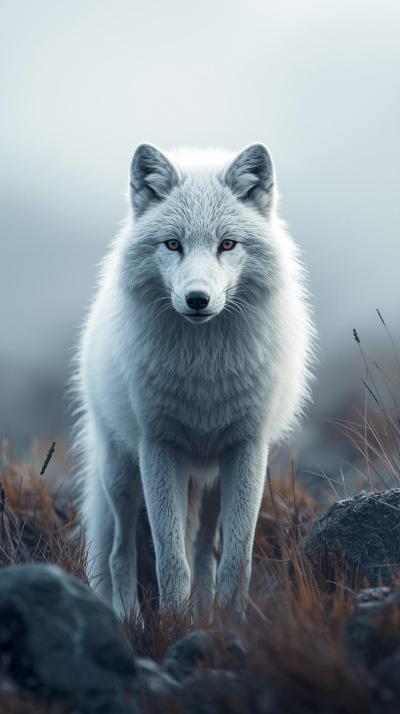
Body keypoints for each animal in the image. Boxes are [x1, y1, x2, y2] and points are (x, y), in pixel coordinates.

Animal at [73, 142, 315, 619]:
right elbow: (170, 559)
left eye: (227, 244)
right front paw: (171, 623)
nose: (197, 299)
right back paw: (129, 618)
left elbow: (236, 558)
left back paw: (205, 611)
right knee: (120, 553)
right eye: (173, 244)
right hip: (122, 476)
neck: (205, 373)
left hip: (213, 481)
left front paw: (231, 621)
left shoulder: (246, 450)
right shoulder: (159, 447)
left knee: (204, 549)